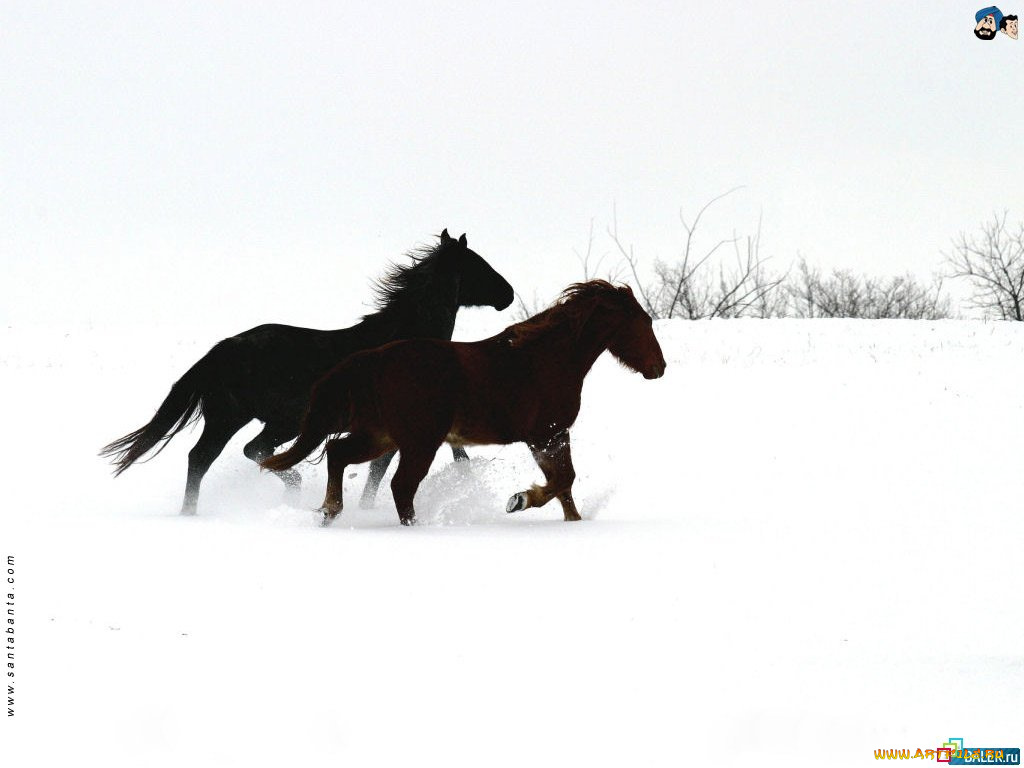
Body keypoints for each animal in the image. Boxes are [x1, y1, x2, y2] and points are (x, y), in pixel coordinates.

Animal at [101, 230, 512, 518]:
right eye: (478, 265)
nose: (507, 294)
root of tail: (220, 352)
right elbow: (383, 470)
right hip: (275, 421)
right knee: (242, 452)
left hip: (231, 419)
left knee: (203, 458)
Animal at [260, 282, 667, 528]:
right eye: (644, 321)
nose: (658, 368)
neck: (545, 358)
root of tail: (371, 360)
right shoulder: (548, 433)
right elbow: (562, 480)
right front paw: (519, 500)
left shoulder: (545, 438)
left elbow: (564, 486)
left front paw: (572, 522)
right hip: (418, 442)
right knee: (400, 486)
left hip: (381, 436)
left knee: (338, 453)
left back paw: (329, 513)